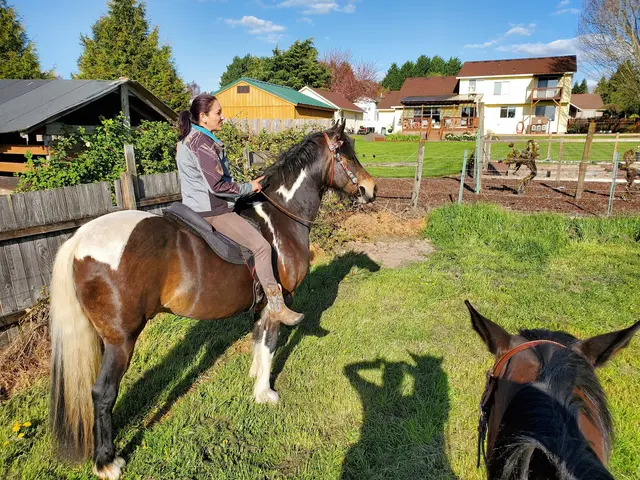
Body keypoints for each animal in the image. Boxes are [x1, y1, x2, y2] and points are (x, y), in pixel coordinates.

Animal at [48, 119, 377, 479]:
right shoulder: (277, 303)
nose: (370, 189)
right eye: (346, 152)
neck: (280, 219)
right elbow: (271, 344)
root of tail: (80, 239)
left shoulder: (260, 307)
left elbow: (259, 342)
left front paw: (255, 379)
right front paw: (265, 393)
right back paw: (107, 461)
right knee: (102, 393)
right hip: (121, 341)